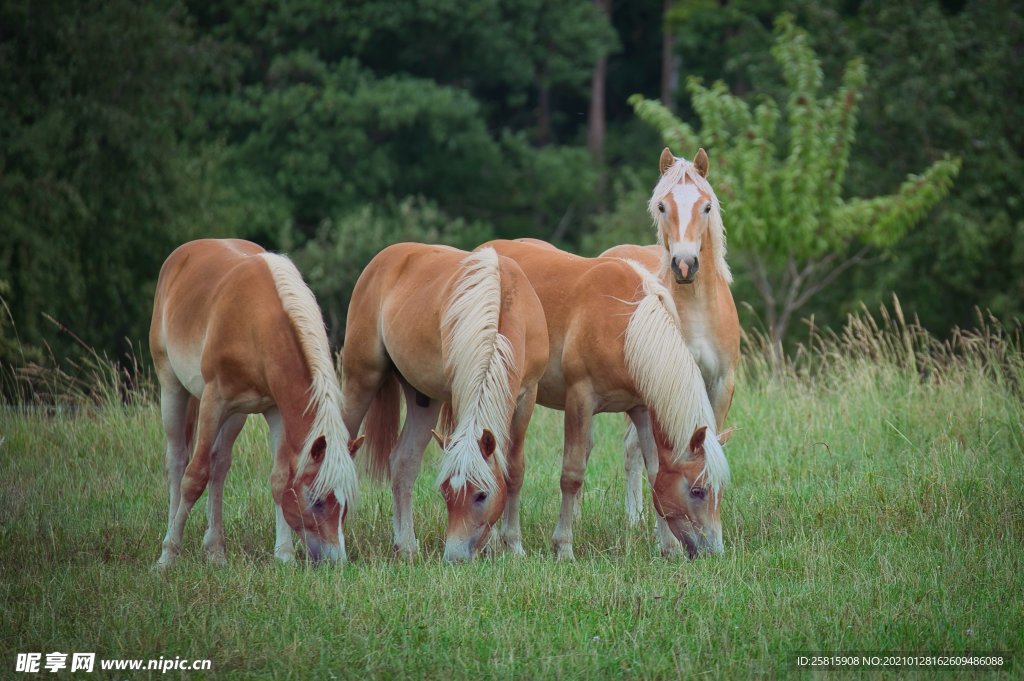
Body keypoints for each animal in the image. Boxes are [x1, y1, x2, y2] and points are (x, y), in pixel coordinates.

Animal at [149, 238, 360, 569]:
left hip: (236, 416)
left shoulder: (276, 411)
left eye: (345, 502)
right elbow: (193, 478)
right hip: (172, 388)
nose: (336, 562)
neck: (257, 323)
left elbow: (279, 480)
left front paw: (284, 556)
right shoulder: (213, 401)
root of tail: (183, 253)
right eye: (316, 500)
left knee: (219, 465)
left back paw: (216, 550)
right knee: (178, 462)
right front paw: (168, 555)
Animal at [342, 241, 552, 561]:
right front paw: (496, 544)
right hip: (360, 381)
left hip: (423, 400)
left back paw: (406, 546)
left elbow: (513, 469)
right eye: (446, 493)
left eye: (481, 494)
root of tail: (384, 258)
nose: (454, 556)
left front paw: (513, 545)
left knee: (403, 462)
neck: (503, 306)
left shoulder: (527, 395)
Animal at [485, 238, 733, 557]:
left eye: (720, 490)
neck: (626, 327)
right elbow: (572, 474)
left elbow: (655, 473)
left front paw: (669, 548)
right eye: (697, 491)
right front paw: (563, 546)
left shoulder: (642, 408)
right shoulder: (580, 400)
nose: (714, 551)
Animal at [598, 147, 737, 552]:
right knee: (631, 450)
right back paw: (634, 520)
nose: (685, 264)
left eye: (707, 206)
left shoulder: (721, 385)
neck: (698, 308)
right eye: (662, 205)